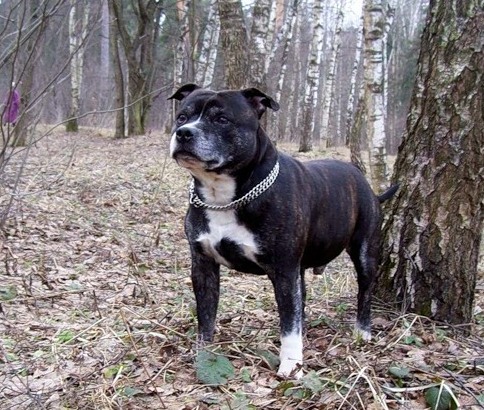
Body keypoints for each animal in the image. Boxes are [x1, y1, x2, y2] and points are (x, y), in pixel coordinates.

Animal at [168, 84, 398, 378]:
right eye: (182, 117)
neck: (223, 197)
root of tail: (365, 182)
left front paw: (291, 366)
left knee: (364, 292)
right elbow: (206, 317)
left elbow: (288, 325)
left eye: (222, 119)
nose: (184, 133)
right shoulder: (203, 266)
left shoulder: (284, 271)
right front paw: (204, 357)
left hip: (365, 253)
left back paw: (362, 332)